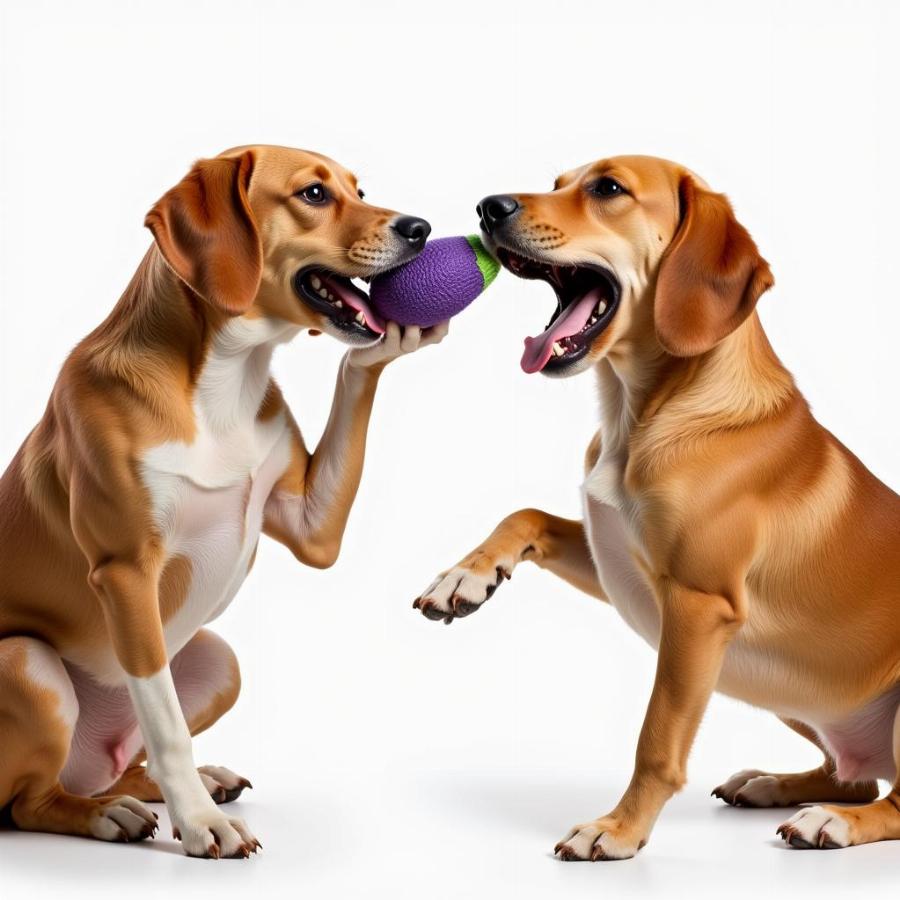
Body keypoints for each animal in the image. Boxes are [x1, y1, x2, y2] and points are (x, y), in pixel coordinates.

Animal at [0, 144, 448, 856]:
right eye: (314, 193)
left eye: (360, 189)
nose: (421, 227)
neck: (222, 379)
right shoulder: (126, 574)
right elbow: (166, 725)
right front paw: (201, 825)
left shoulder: (311, 525)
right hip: (25, 661)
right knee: (29, 802)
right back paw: (109, 814)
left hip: (219, 659)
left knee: (119, 765)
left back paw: (165, 786)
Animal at [414, 155, 900, 856]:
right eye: (558, 183)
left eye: (608, 188)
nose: (488, 206)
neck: (643, 414)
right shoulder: (616, 559)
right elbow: (525, 515)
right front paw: (465, 578)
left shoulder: (696, 609)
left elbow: (657, 737)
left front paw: (618, 829)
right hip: (782, 682)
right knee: (854, 775)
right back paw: (775, 785)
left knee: (893, 800)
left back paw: (829, 821)